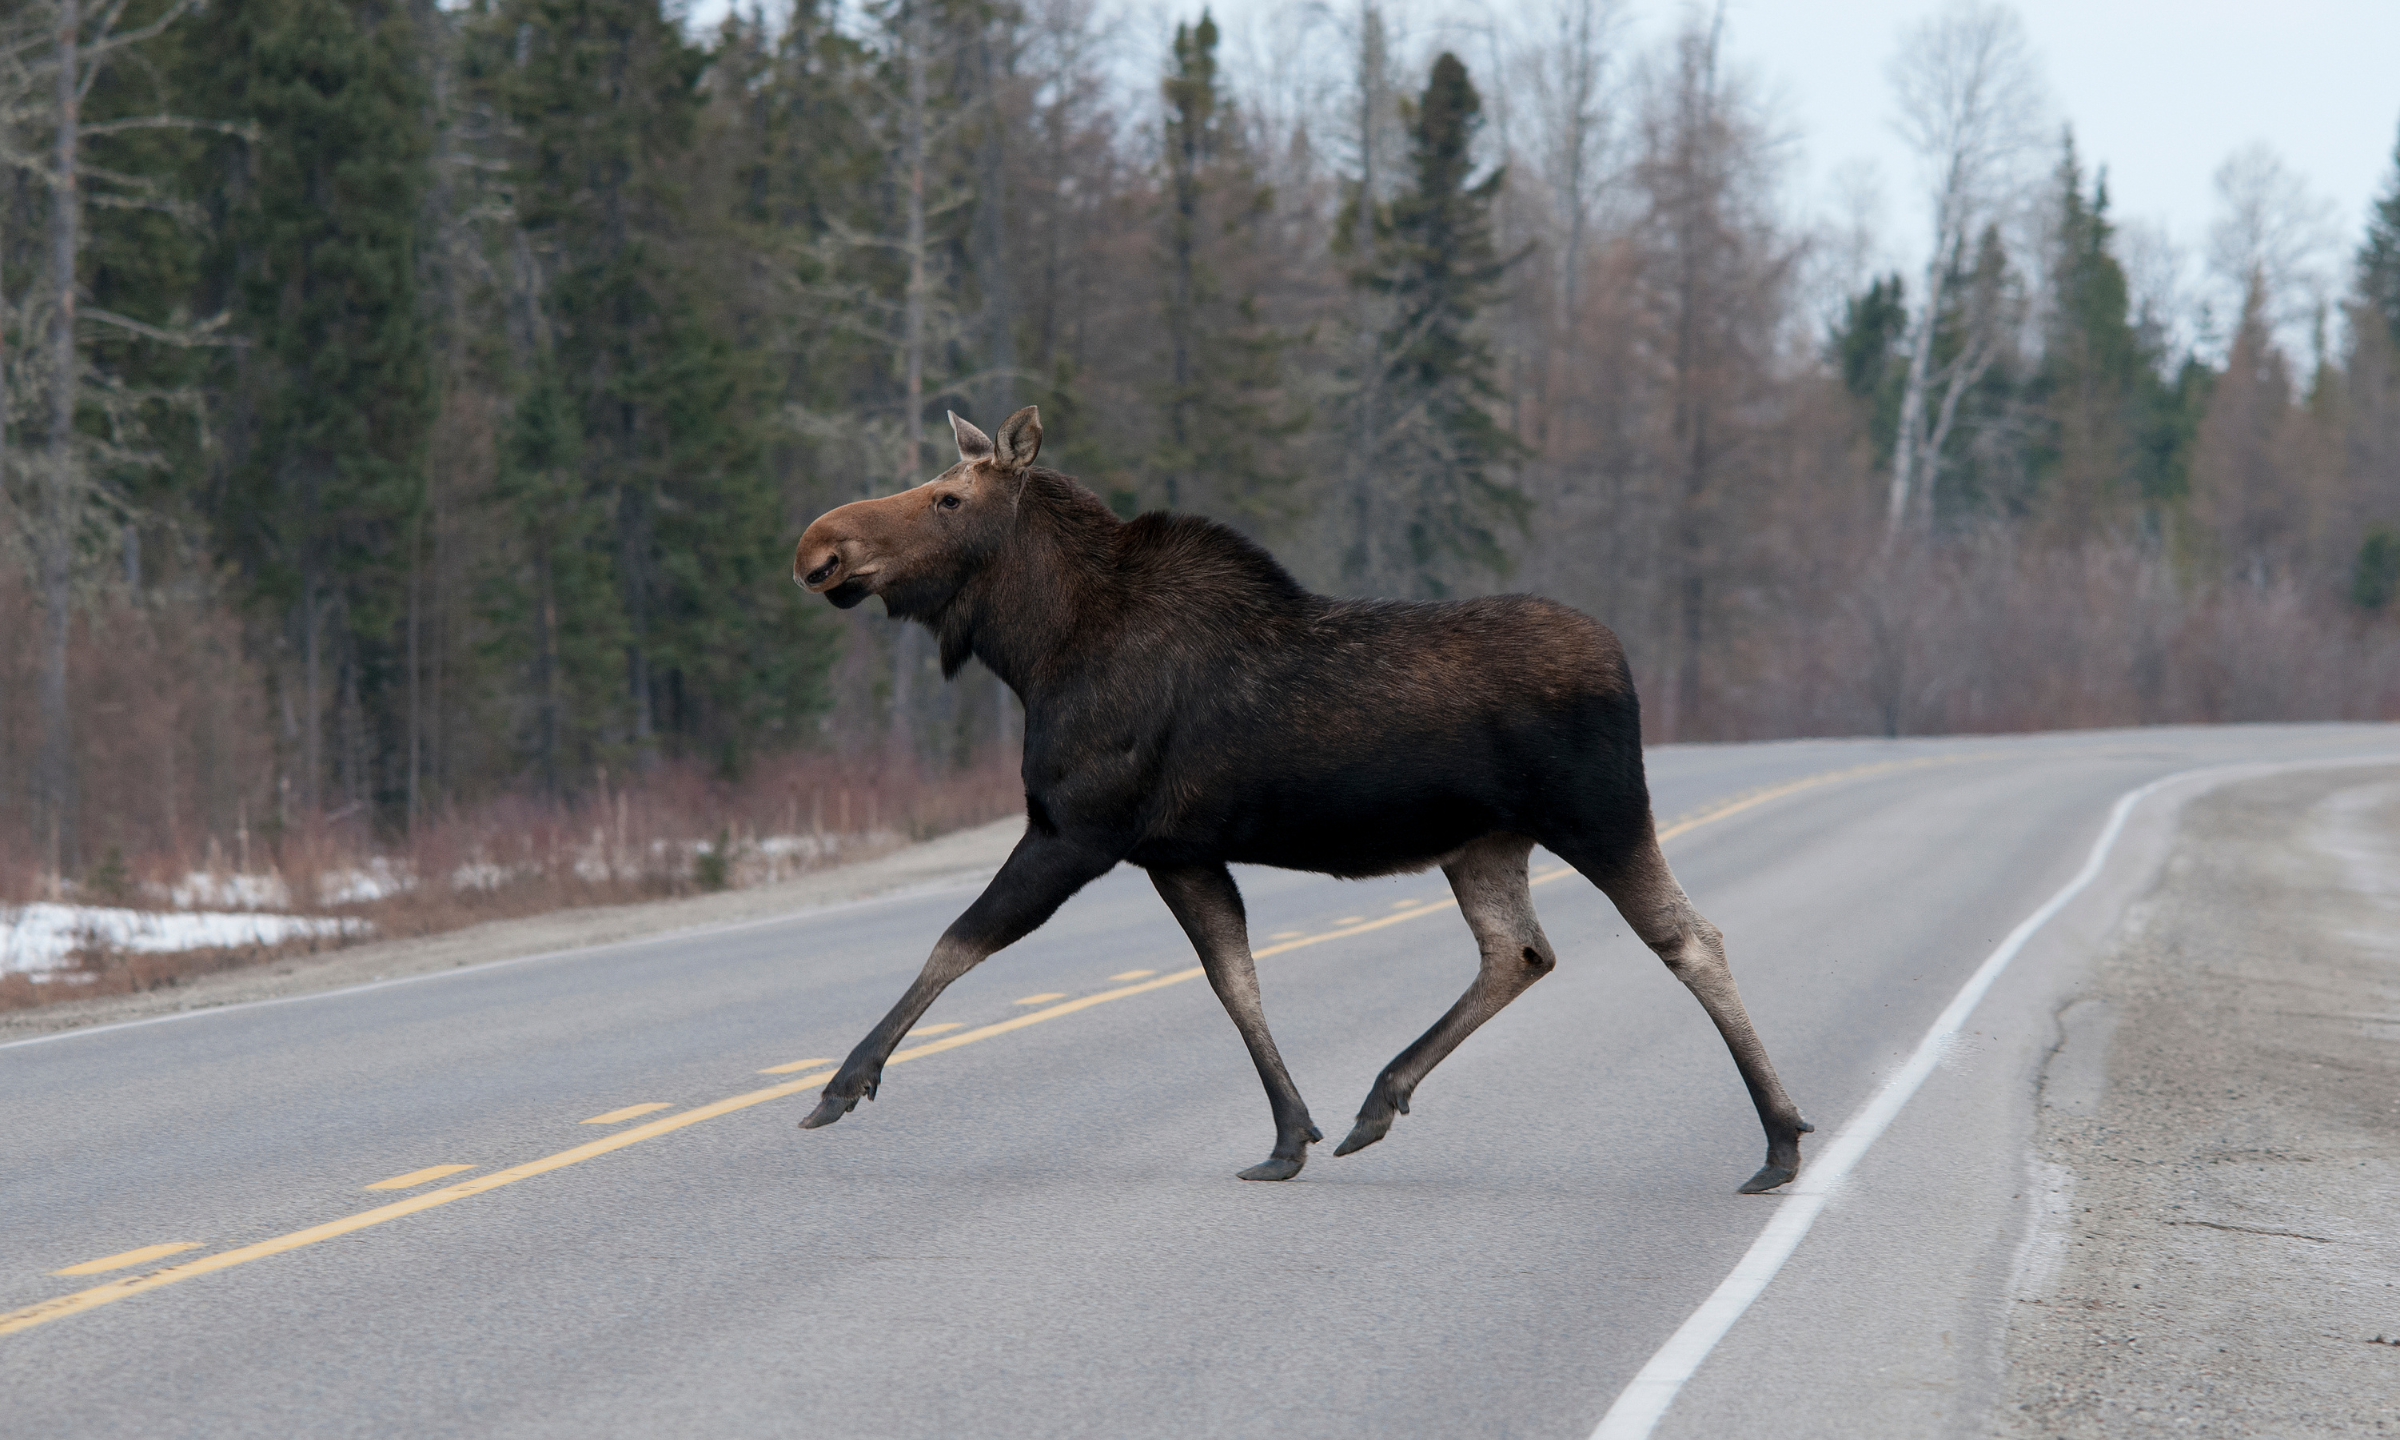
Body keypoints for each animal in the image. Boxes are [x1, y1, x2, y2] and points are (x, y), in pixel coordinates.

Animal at [796, 408, 1804, 1190]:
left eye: (948, 499)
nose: (820, 547)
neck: (1035, 650)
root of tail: (1625, 665)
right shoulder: (1178, 851)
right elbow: (1234, 978)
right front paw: (1289, 1137)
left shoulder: (1077, 829)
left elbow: (958, 942)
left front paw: (842, 1084)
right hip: (1484, 844)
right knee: (1518, 951)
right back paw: (1380, 1098)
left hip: (1600, 815)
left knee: (1688, 938)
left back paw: (1780, 1140)